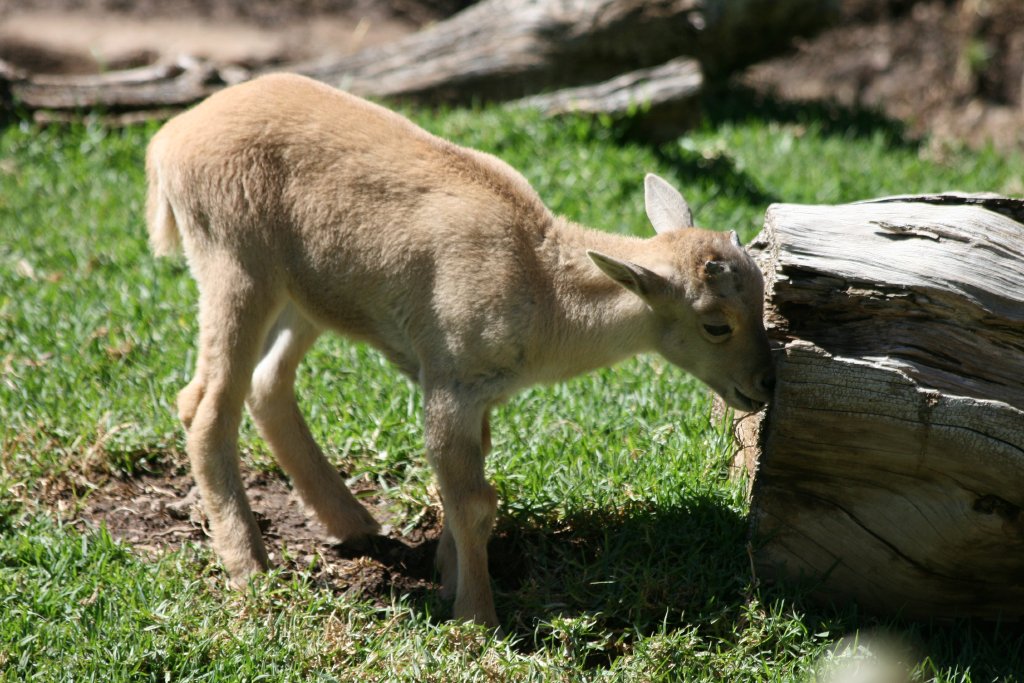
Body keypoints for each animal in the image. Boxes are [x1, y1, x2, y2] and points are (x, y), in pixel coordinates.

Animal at [146, 73, 774, 628]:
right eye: (715, 325)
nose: (764, 385)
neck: (541, 283)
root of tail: (169, 140)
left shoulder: (480, 397)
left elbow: (459, 485)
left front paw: (447, 577)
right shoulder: (450, 380)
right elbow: (475, 501)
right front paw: (477, 616)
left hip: (304, 297)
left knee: (267, 384)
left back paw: (350, 522)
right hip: (236, 266)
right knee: (205, 405)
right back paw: (249, 569)